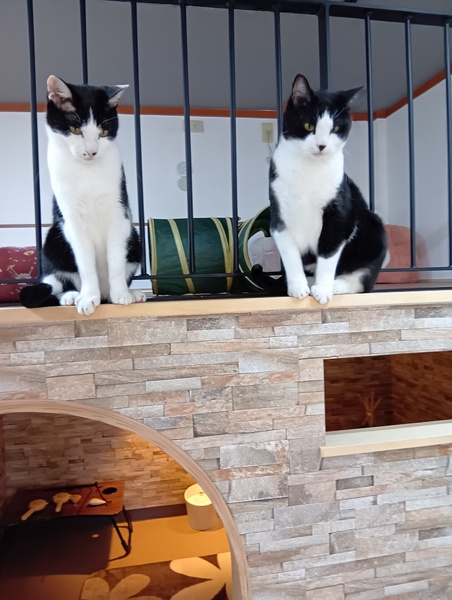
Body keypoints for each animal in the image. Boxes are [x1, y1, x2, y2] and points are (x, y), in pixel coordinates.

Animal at [19, 75, 146, 315]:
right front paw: (88, 297)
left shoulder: (118, 213)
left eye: (103, 133)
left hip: (135, 239)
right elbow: (85, 264)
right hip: (53, 239)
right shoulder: (72, 220)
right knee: (57, 282)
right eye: (74, 129)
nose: (91, 151)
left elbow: (116, 259)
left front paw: (121, 294)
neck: (87, 172)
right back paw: (72, 296)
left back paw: (130, 293)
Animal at [262, 74, 387, 304]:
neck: (309, 170)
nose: (321, 145)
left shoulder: (338, 215)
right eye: (308, 125)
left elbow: (328, 254)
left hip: (375, 229)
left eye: (336, 128)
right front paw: (298, 287)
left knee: (361, 283)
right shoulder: (279, 217)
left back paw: (335, 285)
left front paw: (322, 289)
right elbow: (290, 255)